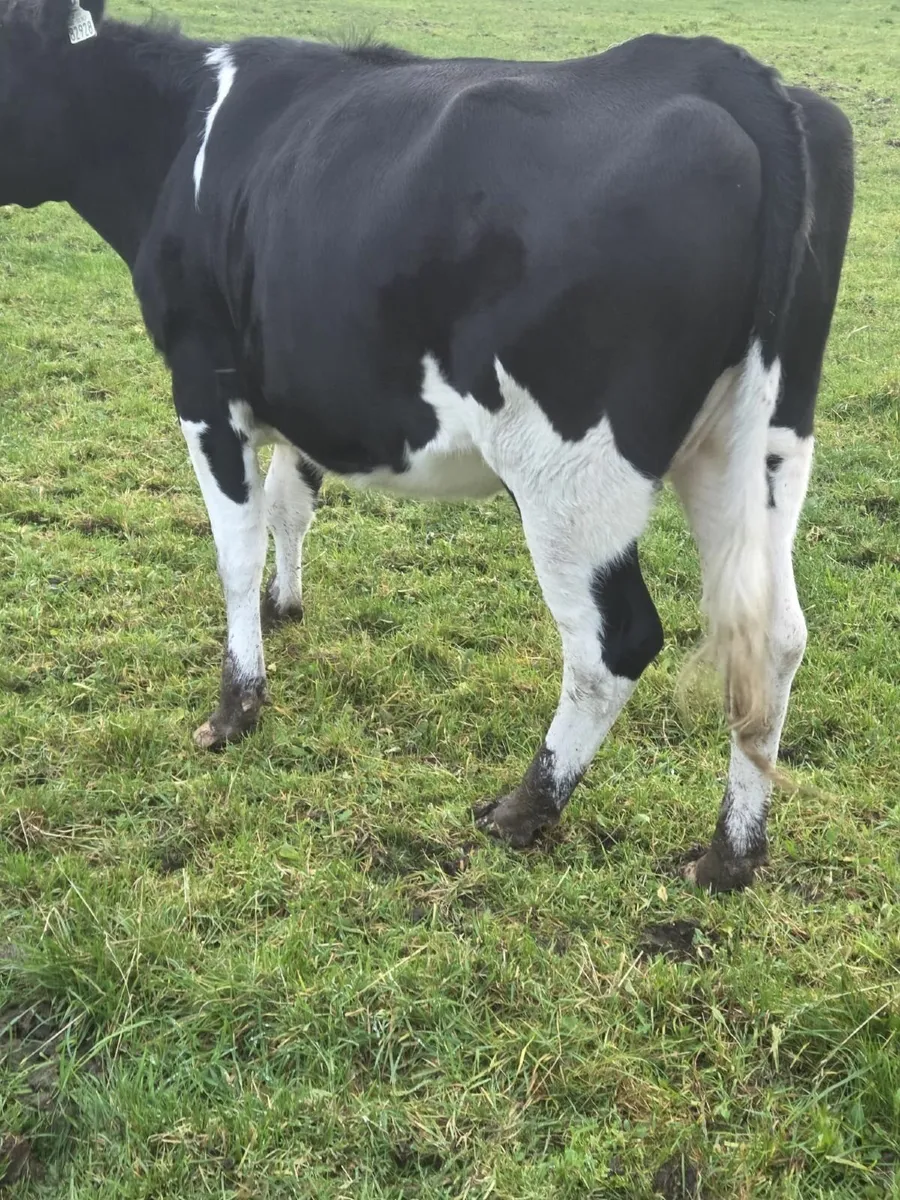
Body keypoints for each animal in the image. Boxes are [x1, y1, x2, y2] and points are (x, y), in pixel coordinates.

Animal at [0, 0, 853, 890]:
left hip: (572, 471)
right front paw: (285, 606)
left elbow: (235, 548)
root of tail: (721, 70)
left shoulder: (205, 385)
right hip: (757, 446)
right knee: (774, 638)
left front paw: (235, 707)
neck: (177, 138)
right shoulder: (309, 392)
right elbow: (289, 506)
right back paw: (731, 853)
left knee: (613, 642)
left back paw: (524, 808)